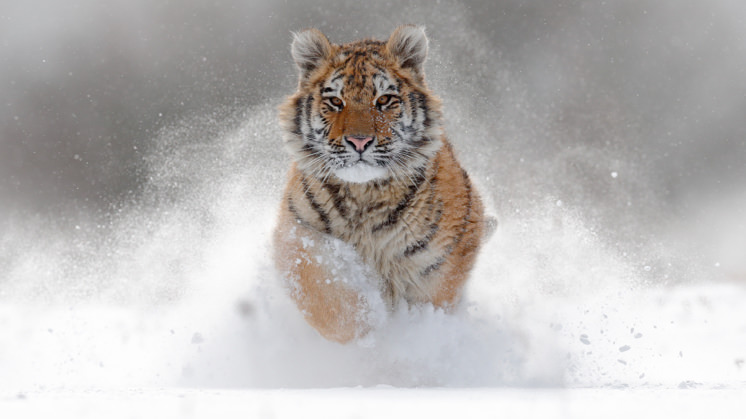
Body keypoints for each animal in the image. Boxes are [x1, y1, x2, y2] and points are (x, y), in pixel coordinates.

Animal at [273, 25, 491, 343]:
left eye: (384, 100)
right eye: (335, 102)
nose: (359, 141)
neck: (364, 195)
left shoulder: (442, 261)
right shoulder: (297, 234)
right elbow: (328, 299)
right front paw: (368, 328)